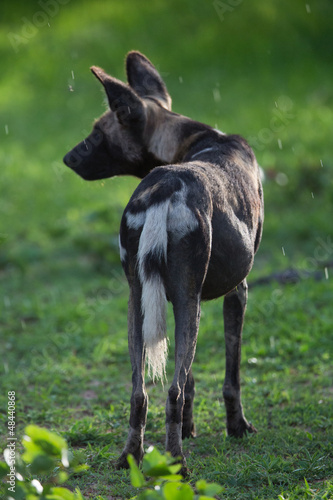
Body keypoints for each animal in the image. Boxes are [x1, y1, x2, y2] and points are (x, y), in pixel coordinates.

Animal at [63, 50, 264, 472]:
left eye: (97, 133)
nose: (67, 158)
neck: (191, 140)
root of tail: (164, 188)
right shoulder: (235, 292)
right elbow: (230, 376)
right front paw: (236, 427)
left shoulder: (182, 299)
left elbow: (189, 379)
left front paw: (189, 427)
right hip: (188, 302)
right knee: (170, 391)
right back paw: (177, 464)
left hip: (139, 303)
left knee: (139, 392)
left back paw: (130, 457)